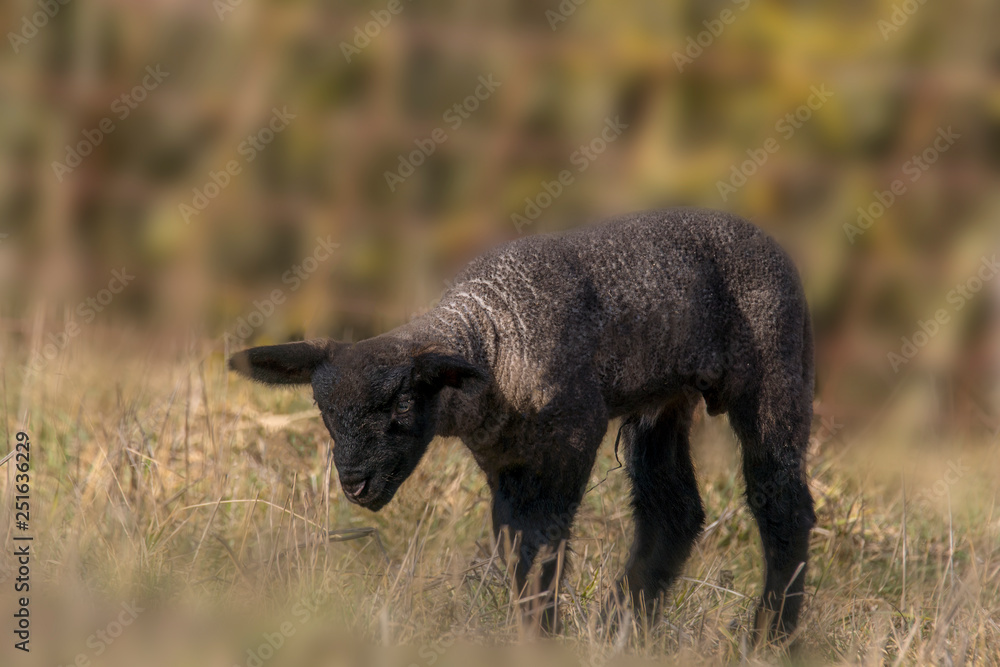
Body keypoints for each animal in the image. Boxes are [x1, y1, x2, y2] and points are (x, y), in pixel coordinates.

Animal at [229, 207, 816, 641]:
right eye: (325, 414)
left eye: (402, 406)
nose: (355, 483)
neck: (495, 338)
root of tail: (767, 239)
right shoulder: (504, 462)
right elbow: (517, 550)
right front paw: (531, 634)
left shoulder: (572, 439)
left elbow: (544, 546)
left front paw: (542, 634)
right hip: (662, 401)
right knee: (673, 511)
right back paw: (620, 630)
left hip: (776, 369)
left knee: (783, 503)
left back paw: (768, 639)